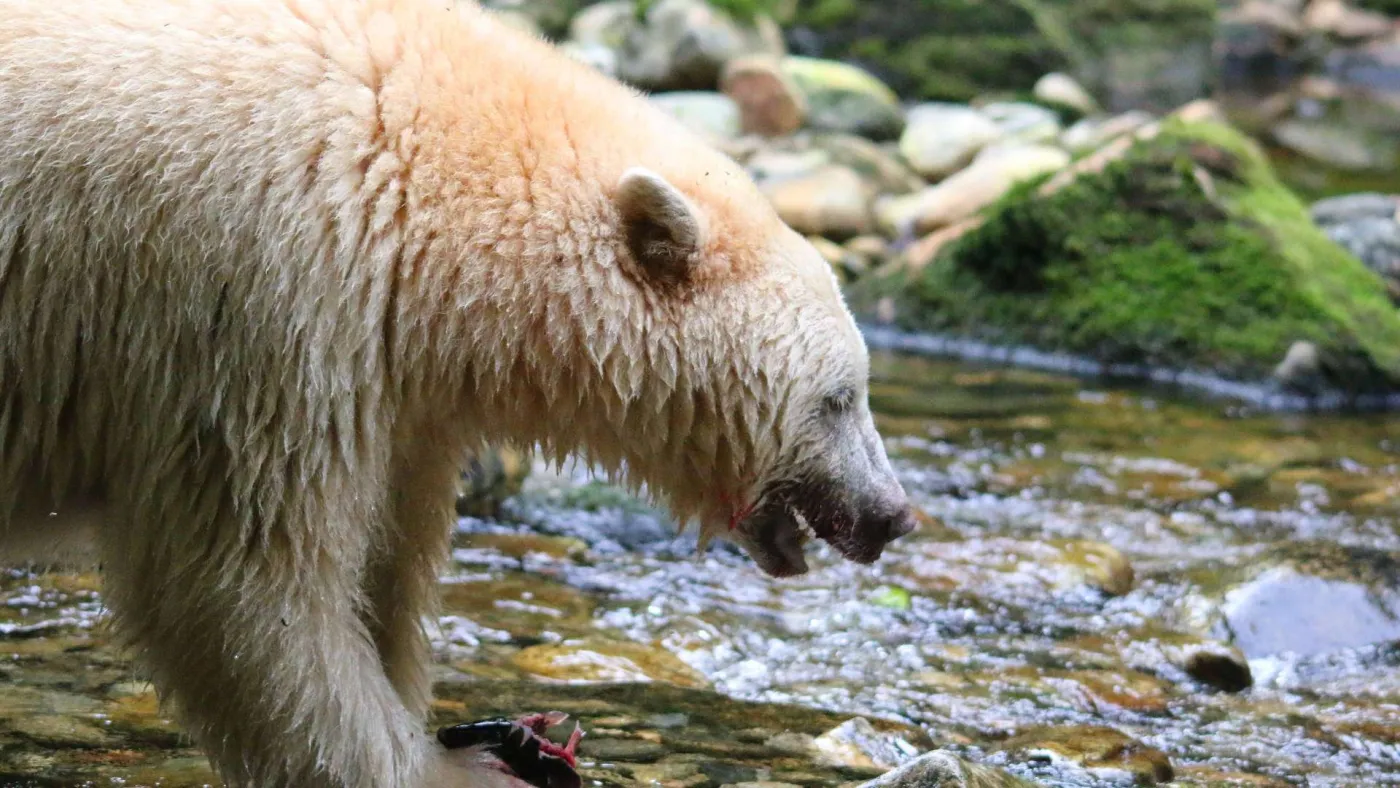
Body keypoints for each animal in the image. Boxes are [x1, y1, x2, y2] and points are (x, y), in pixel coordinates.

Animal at [0, 0, 917, 786]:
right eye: (839, 397)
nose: (892, 514)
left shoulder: (391, 383)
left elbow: (386, 557)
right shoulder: (259, 307)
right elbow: (241, 582)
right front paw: (463, 767)